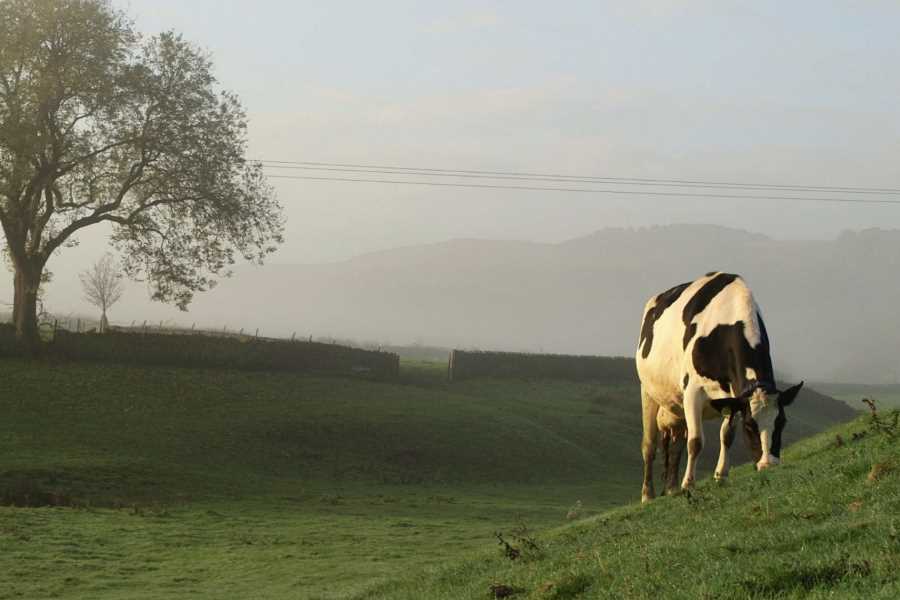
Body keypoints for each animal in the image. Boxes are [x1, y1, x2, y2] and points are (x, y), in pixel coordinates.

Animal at [636, 274, 804, 504]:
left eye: (782, 422)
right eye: (749, 426)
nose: (767, 464)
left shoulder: (732, 396)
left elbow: (727, 435)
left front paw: (720, 475)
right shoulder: (693, 390)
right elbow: (696, 441)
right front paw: (689, 484)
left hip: (676, 404)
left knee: (677, 442)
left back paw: (671, 488)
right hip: (648, 391)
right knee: (649, 445)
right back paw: (648, 494)